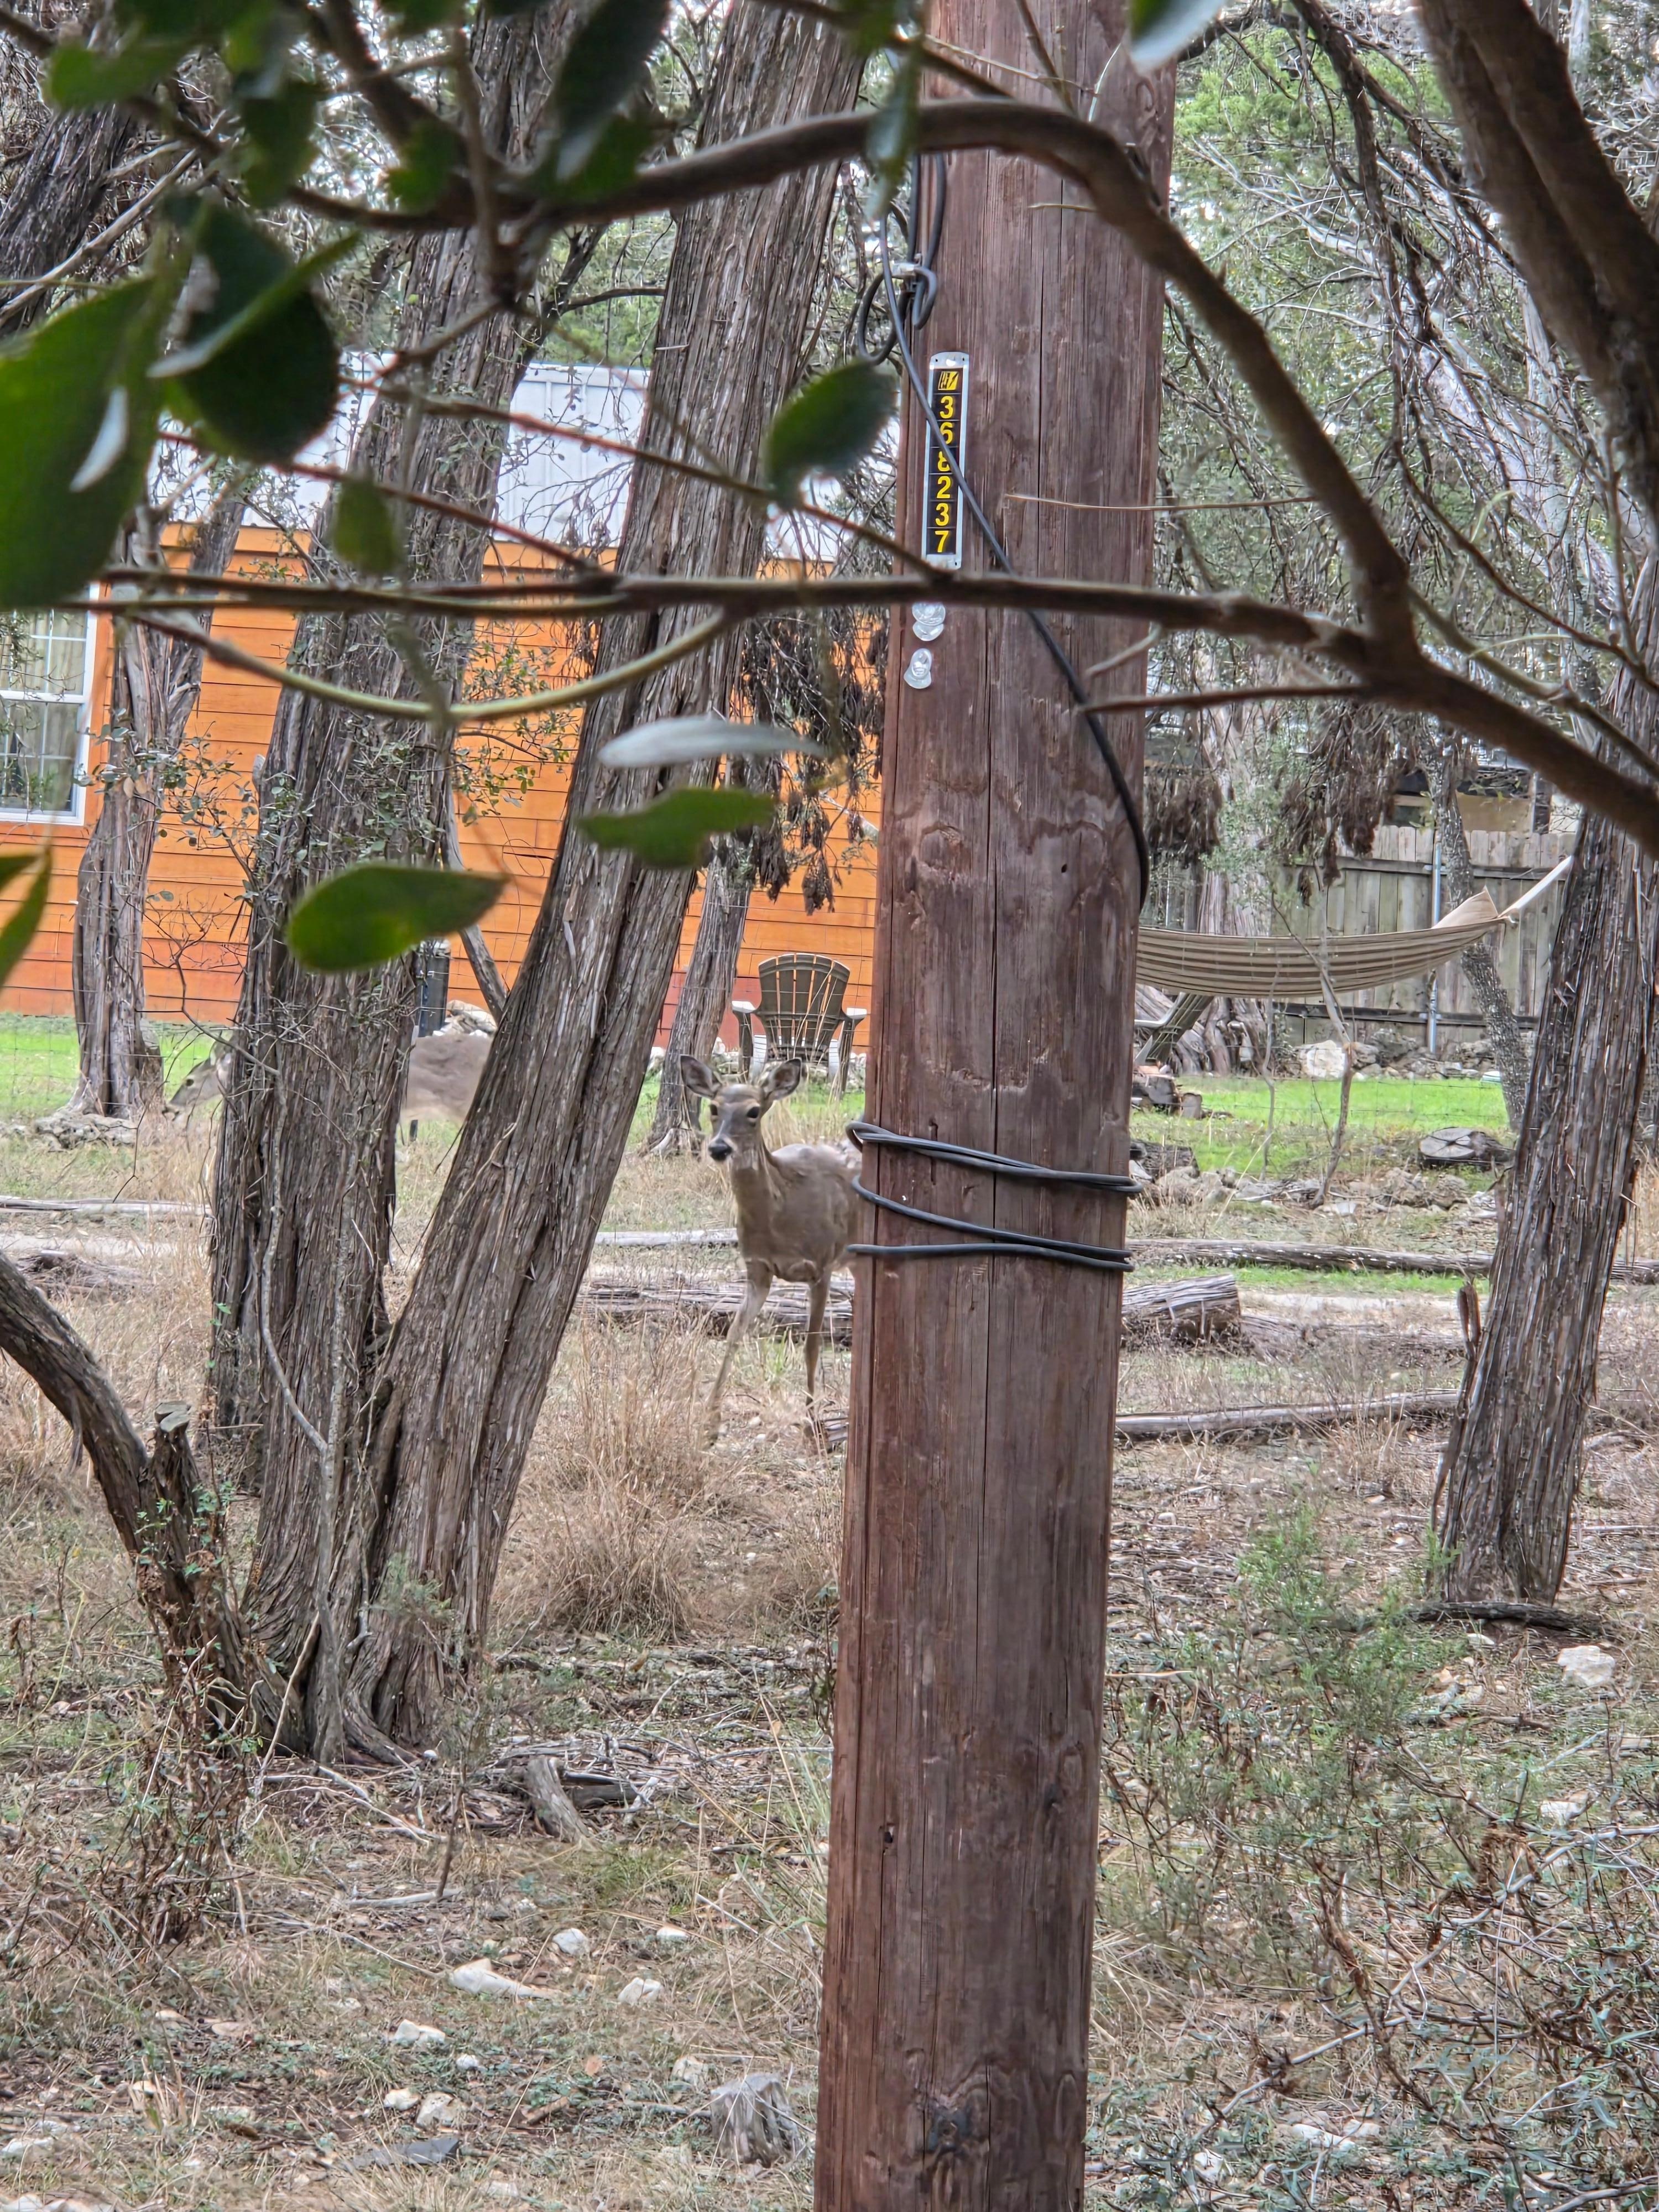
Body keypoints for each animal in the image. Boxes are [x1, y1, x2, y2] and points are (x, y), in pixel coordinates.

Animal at [680, 1054, 858, 1445]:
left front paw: (811, 1424)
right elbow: (734, 1334)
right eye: (713, 1108)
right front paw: (710, 1423)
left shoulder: (821, 1263)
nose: (719, 1148)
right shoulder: (757, 1269)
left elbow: (811, 1345)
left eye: (754, 1111)